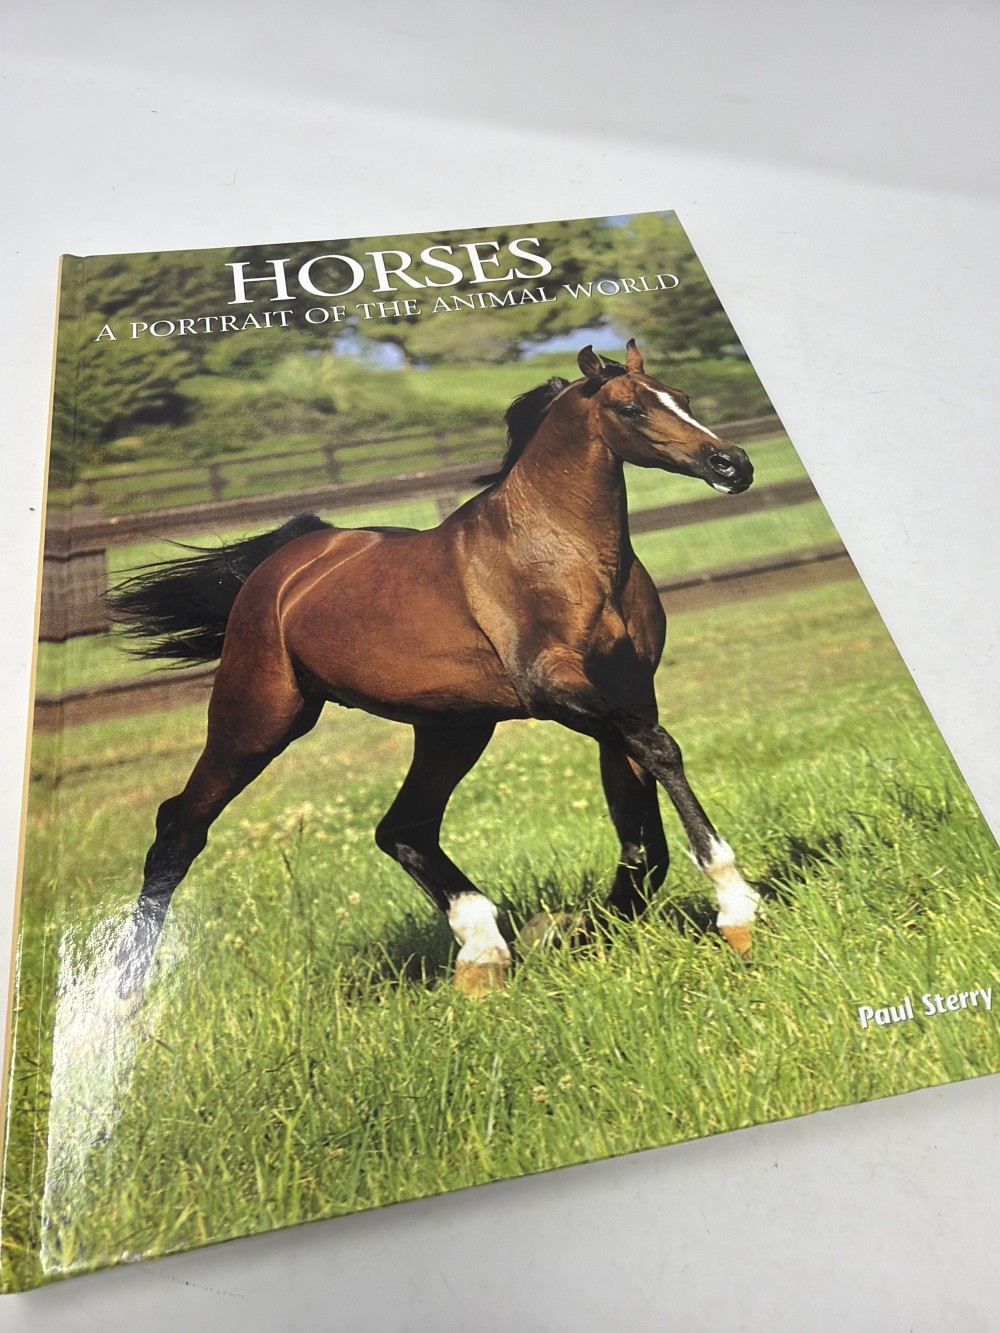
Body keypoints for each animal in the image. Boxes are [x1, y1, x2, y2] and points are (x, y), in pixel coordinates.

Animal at [110, 340, 759, 1001]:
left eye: (680, 396)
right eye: (631, 408)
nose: (732, 464)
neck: (566, 554)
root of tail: (288, 561)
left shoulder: (628, 693)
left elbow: (642, 834)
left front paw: (580, 928)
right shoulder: (556, 690)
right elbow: (661, 754)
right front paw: (736, 911)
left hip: (453, 726)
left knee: (402, 828)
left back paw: (484, 951)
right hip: (258, 719)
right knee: (180, 826)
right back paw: (121, 992)